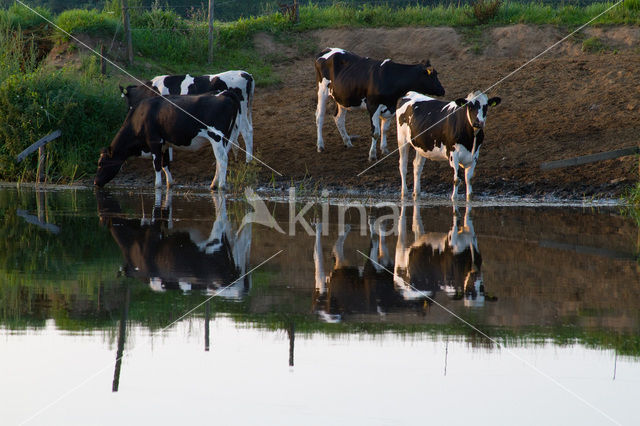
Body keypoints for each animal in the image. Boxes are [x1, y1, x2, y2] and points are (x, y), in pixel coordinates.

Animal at [96, 90, 241, 190]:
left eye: (101, 163)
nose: (95, 182)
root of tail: (223, 93)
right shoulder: (165, 144)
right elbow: (165, 164)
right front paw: (169, 183)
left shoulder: (154, 141)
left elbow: (157, 164)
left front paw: (157, 185)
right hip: (224, 139)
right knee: (219, 160)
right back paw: (213, 184)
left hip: (216, 136)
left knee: (222, 159)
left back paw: (221, 186)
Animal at [120, 70, 255, 163]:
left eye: (127, 102)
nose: (128, 114)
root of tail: (246, 74)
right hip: (242, 113)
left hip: (242, 111)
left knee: (246, 131)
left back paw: (248, 160)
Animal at [316, 47, 444, 161]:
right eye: (433, 76)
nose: (443, 90)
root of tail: (326, 50)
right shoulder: (373, 106)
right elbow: (376, 132)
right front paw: (372, 155)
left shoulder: (391, 107)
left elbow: (385, 129)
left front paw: (384, 149)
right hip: (322, 91)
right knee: (319, 117)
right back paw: (320, 146)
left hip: (342, 98)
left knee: (339, 118)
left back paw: (347, 142)